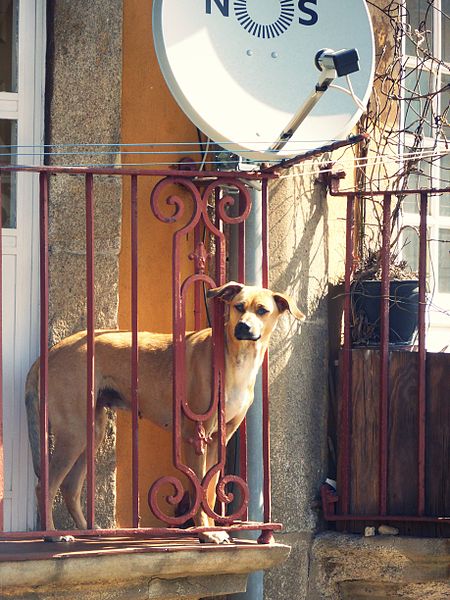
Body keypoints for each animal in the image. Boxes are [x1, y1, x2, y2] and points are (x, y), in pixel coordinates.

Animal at [25, 282, 306, 544]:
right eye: (238, 306)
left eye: (262, 310)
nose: (244, 327)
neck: (234, 357)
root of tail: (50, 353)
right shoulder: (197, 438)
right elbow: (199, 491)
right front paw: (206, 534)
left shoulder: (218, 441)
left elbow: (210, 490)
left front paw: (210, 530)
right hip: (74, 433)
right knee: (44, 486)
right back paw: (51, 534)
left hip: (91, 431)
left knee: (69, 486)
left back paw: (88, 530)